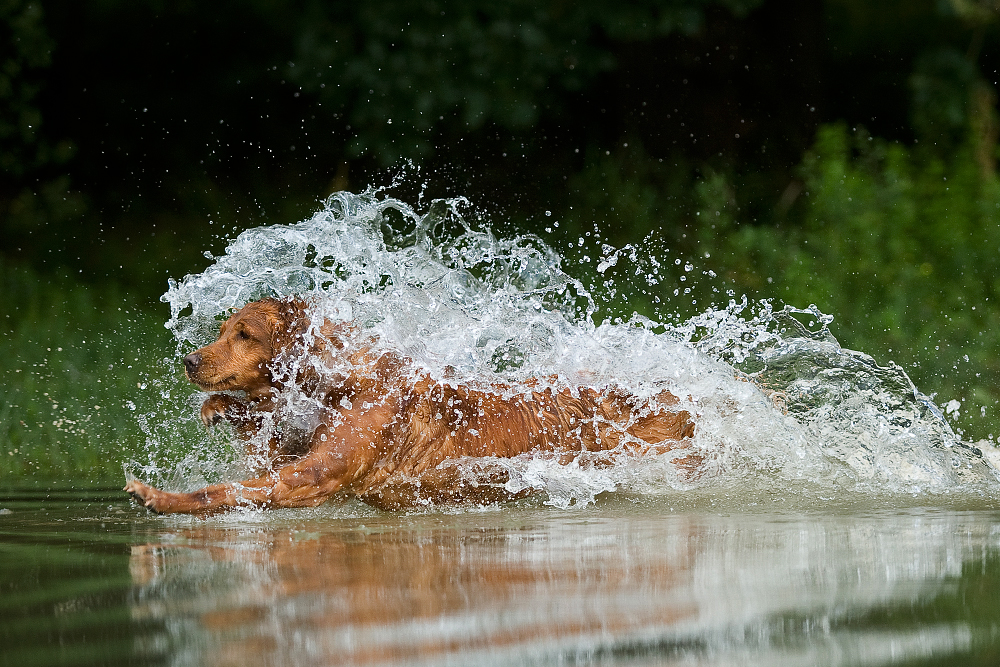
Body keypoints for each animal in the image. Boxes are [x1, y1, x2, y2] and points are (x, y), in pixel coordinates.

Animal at [125, 300, 696, 516]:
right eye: (222, 328)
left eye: (244, 334)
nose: (189, 360)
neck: (348, 382)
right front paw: (221, 407)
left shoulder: (315, 476)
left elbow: (223, 491)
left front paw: (157, 495)